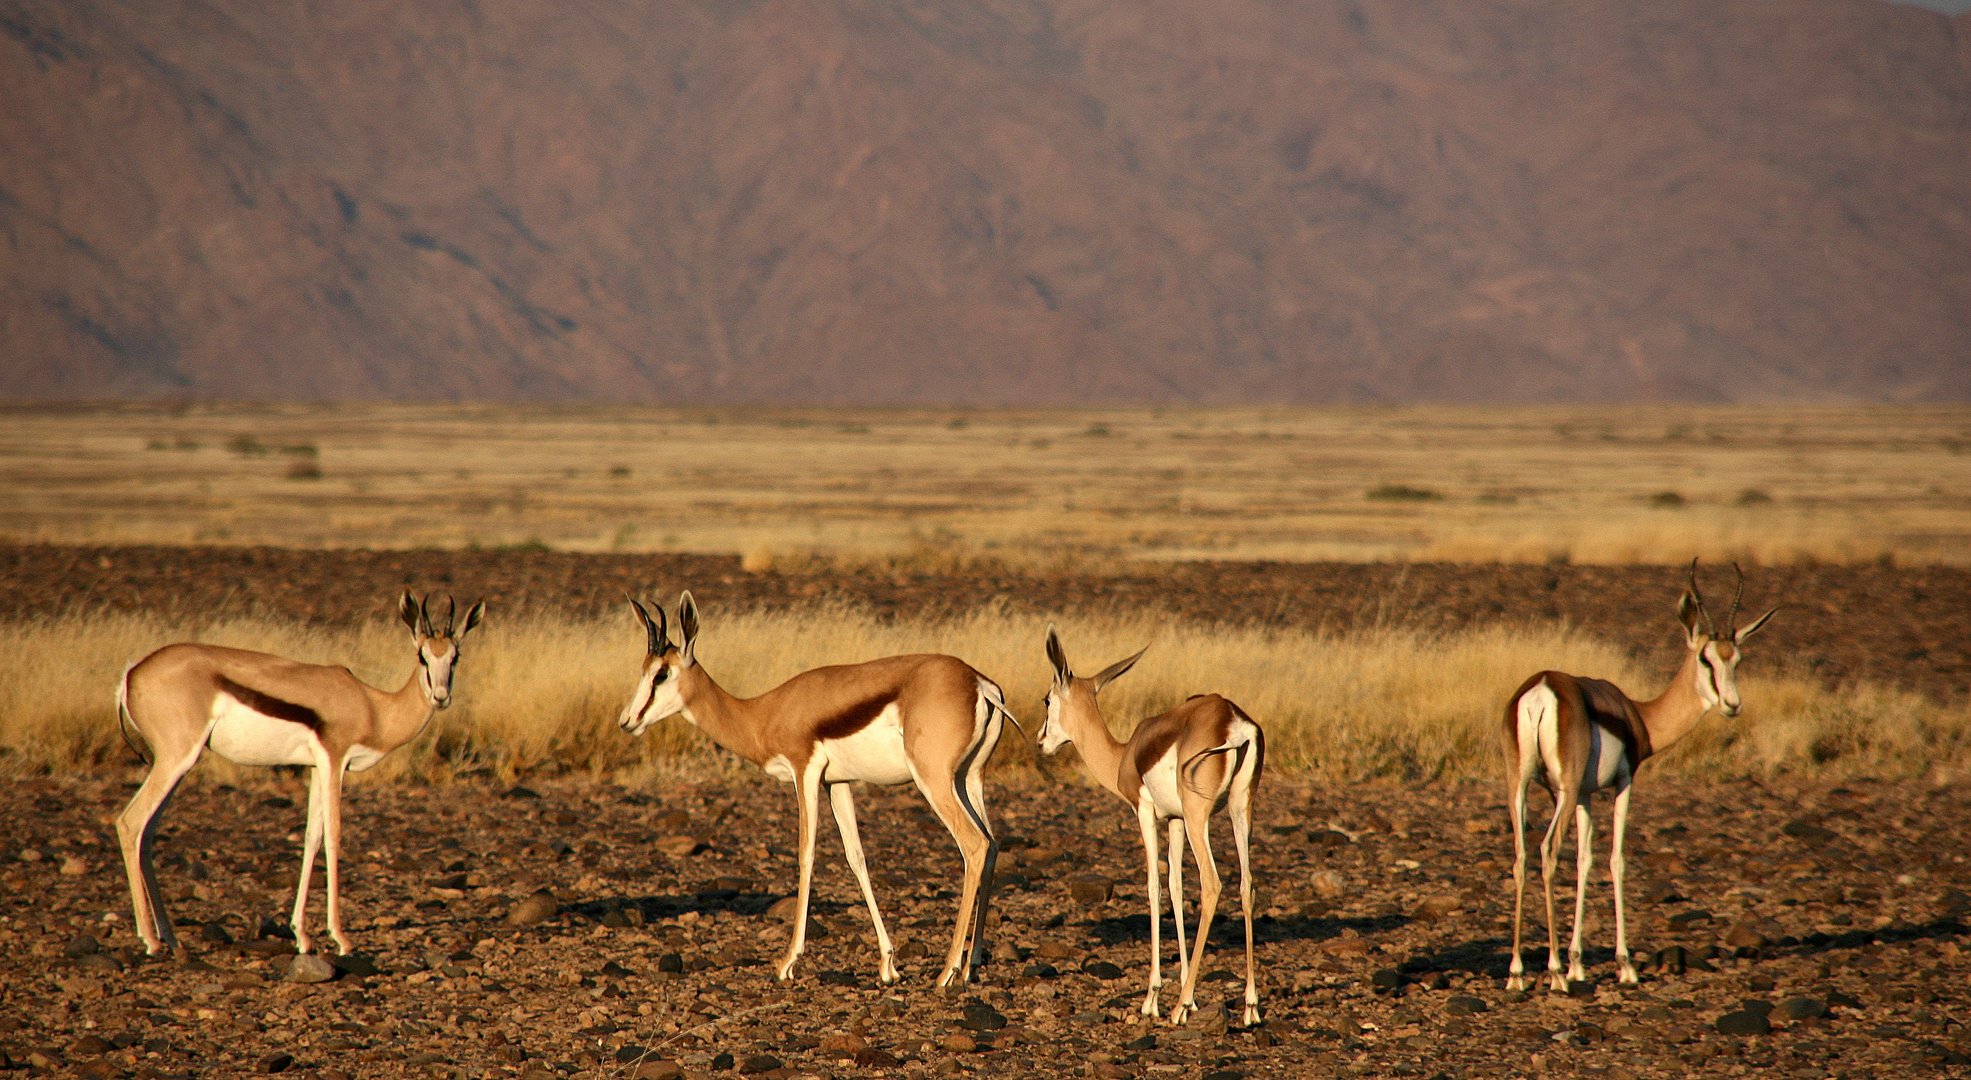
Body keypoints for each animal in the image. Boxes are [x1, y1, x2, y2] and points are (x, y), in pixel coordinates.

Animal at [115, 595, 484, 957]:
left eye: (455, 656)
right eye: (423, 656)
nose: (440, 697)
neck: (373, 707)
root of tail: (132, 674)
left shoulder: (317, 768)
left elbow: (311, 838)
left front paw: (302, 936)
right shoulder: (334, 761)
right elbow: (334, 836)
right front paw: (341, 938)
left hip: (177, 766)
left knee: (147, 832)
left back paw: (169, 936)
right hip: (175, 759)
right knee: (130, 823)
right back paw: (150, 940)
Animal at [614, 591, 1017, 985]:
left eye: (662, 673)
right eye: (643, 671)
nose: (627, 721)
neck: (762, 713)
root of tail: (978, 684)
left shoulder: (804, 771)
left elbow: (806, 854)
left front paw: (788, 962)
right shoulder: (837, 782)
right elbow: (856, 857)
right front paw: (888, 965)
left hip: (933, 780)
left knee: (974, 845)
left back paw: (948, 972)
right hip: (967, 779)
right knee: (993, 845)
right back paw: (972, 965)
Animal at [1032, 626, 1261, 1024]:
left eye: (1047, 700)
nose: (1041, 741)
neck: (1125, 754)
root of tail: (1233, 721)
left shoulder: (1144, 812)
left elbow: (1154, 885)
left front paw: (1154, 997)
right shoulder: (1176, 820)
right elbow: (1176, 887)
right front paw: (1189, 991)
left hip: (1201, 815)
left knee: (1212, 884)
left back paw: (1178, 1009)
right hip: (1238, 808)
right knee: (1246, 884)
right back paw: (1249, 1007)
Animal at [1497, 559, 1781, 993]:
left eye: (1737, 659)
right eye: (1706, 659)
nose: (1732, 705)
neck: (1637, 715)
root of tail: (1541, 689)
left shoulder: (1583, 795)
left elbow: (1584, 860)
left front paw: (1578, 963)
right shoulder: (1623, 783)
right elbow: (1616, 859)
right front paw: (1624, 965)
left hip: (1521, 785)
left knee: (1521, 856)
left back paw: (1517, 972)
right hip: (1561, 788)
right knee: (1547, 851)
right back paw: (1555, 973)